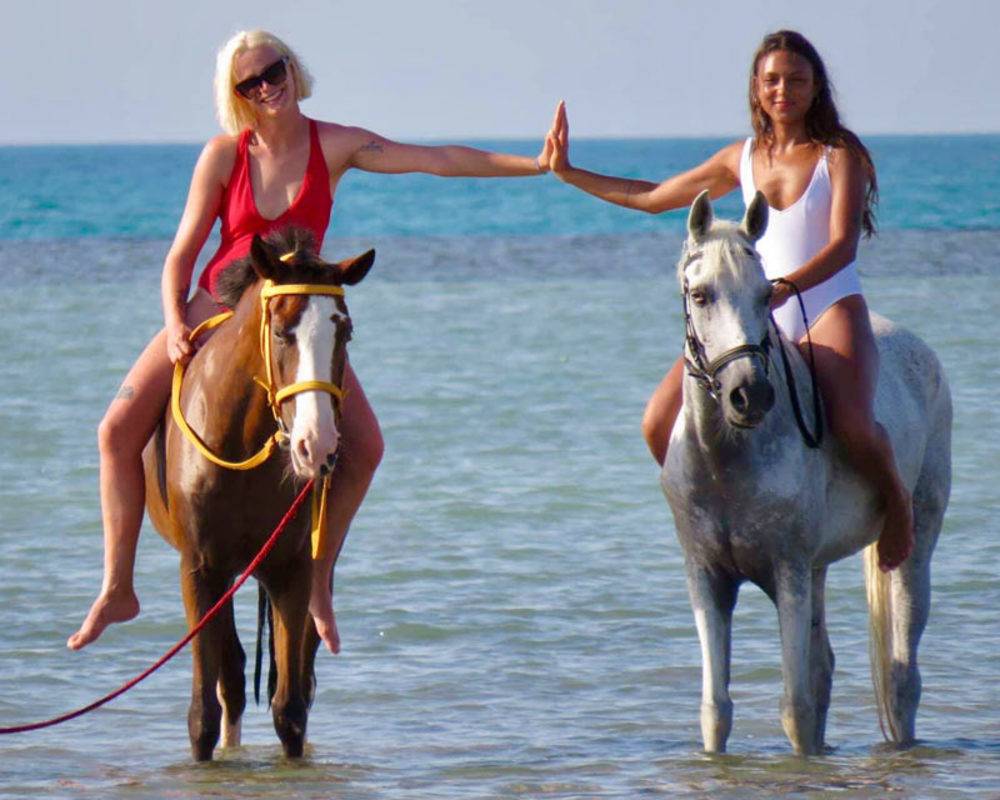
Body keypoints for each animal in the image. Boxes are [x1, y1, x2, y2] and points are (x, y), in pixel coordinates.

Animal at [142, 227, 374, 761]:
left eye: (346, 332)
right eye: (283, 331)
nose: (318, 445)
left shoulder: (292, 567)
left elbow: (290, 710)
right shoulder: (200, 569)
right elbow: (204, 714)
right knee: (230, 675)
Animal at [661, 191, 952, 755]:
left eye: (764, 294)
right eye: (701, 295)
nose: (750, 395)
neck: (726, 460)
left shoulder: (787, 572)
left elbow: (793, 705)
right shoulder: (706, 577)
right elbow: (717, 710)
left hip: (914, 546)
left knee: (902, 676)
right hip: (818, 568)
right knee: (824, 672)